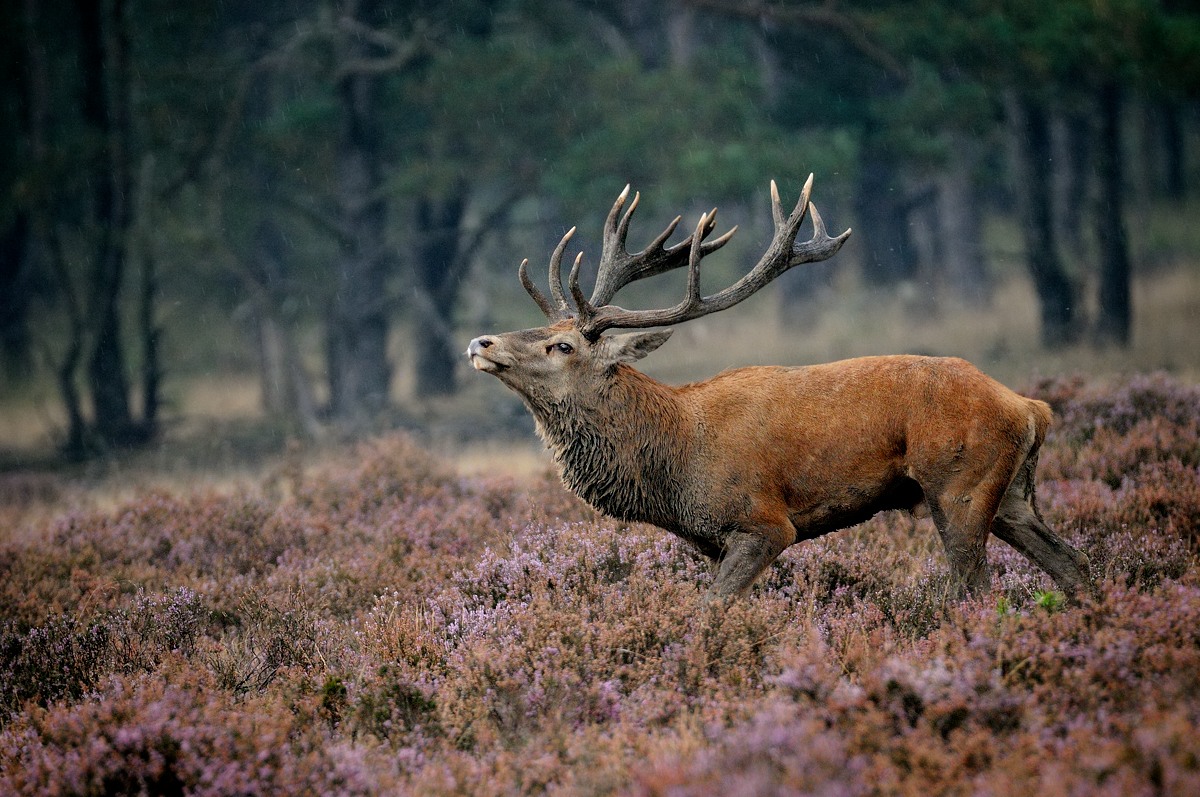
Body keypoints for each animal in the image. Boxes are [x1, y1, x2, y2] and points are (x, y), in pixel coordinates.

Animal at [466, 175, 1092, 602]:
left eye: (562, 346)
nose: (480, 342)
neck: (675, 463)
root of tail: (1032, 408)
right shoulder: (710, 542)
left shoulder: (764, 523)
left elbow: (712, 608)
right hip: (1010, 494)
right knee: (1074, 564)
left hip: (959, 484)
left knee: (977, 587)